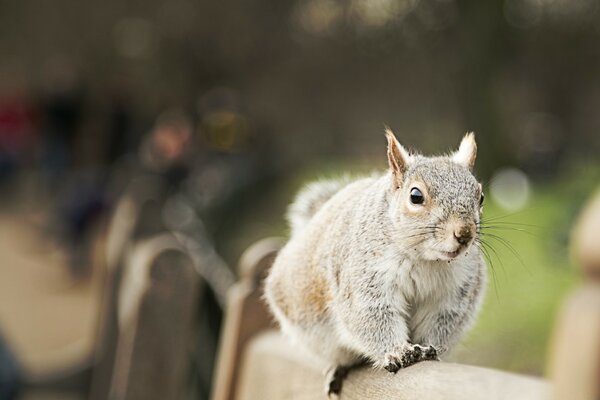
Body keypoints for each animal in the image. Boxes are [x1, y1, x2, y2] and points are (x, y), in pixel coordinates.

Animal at [266, 130, 488, 396]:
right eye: (415, 196)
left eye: (480, 196)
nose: (464, 234)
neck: (425, 259)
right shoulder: (365, 281)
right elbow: (373, 318)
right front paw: (399, 352)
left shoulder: (453, 294)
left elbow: (441, 323)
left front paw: (429, 351)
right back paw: (339, 368)